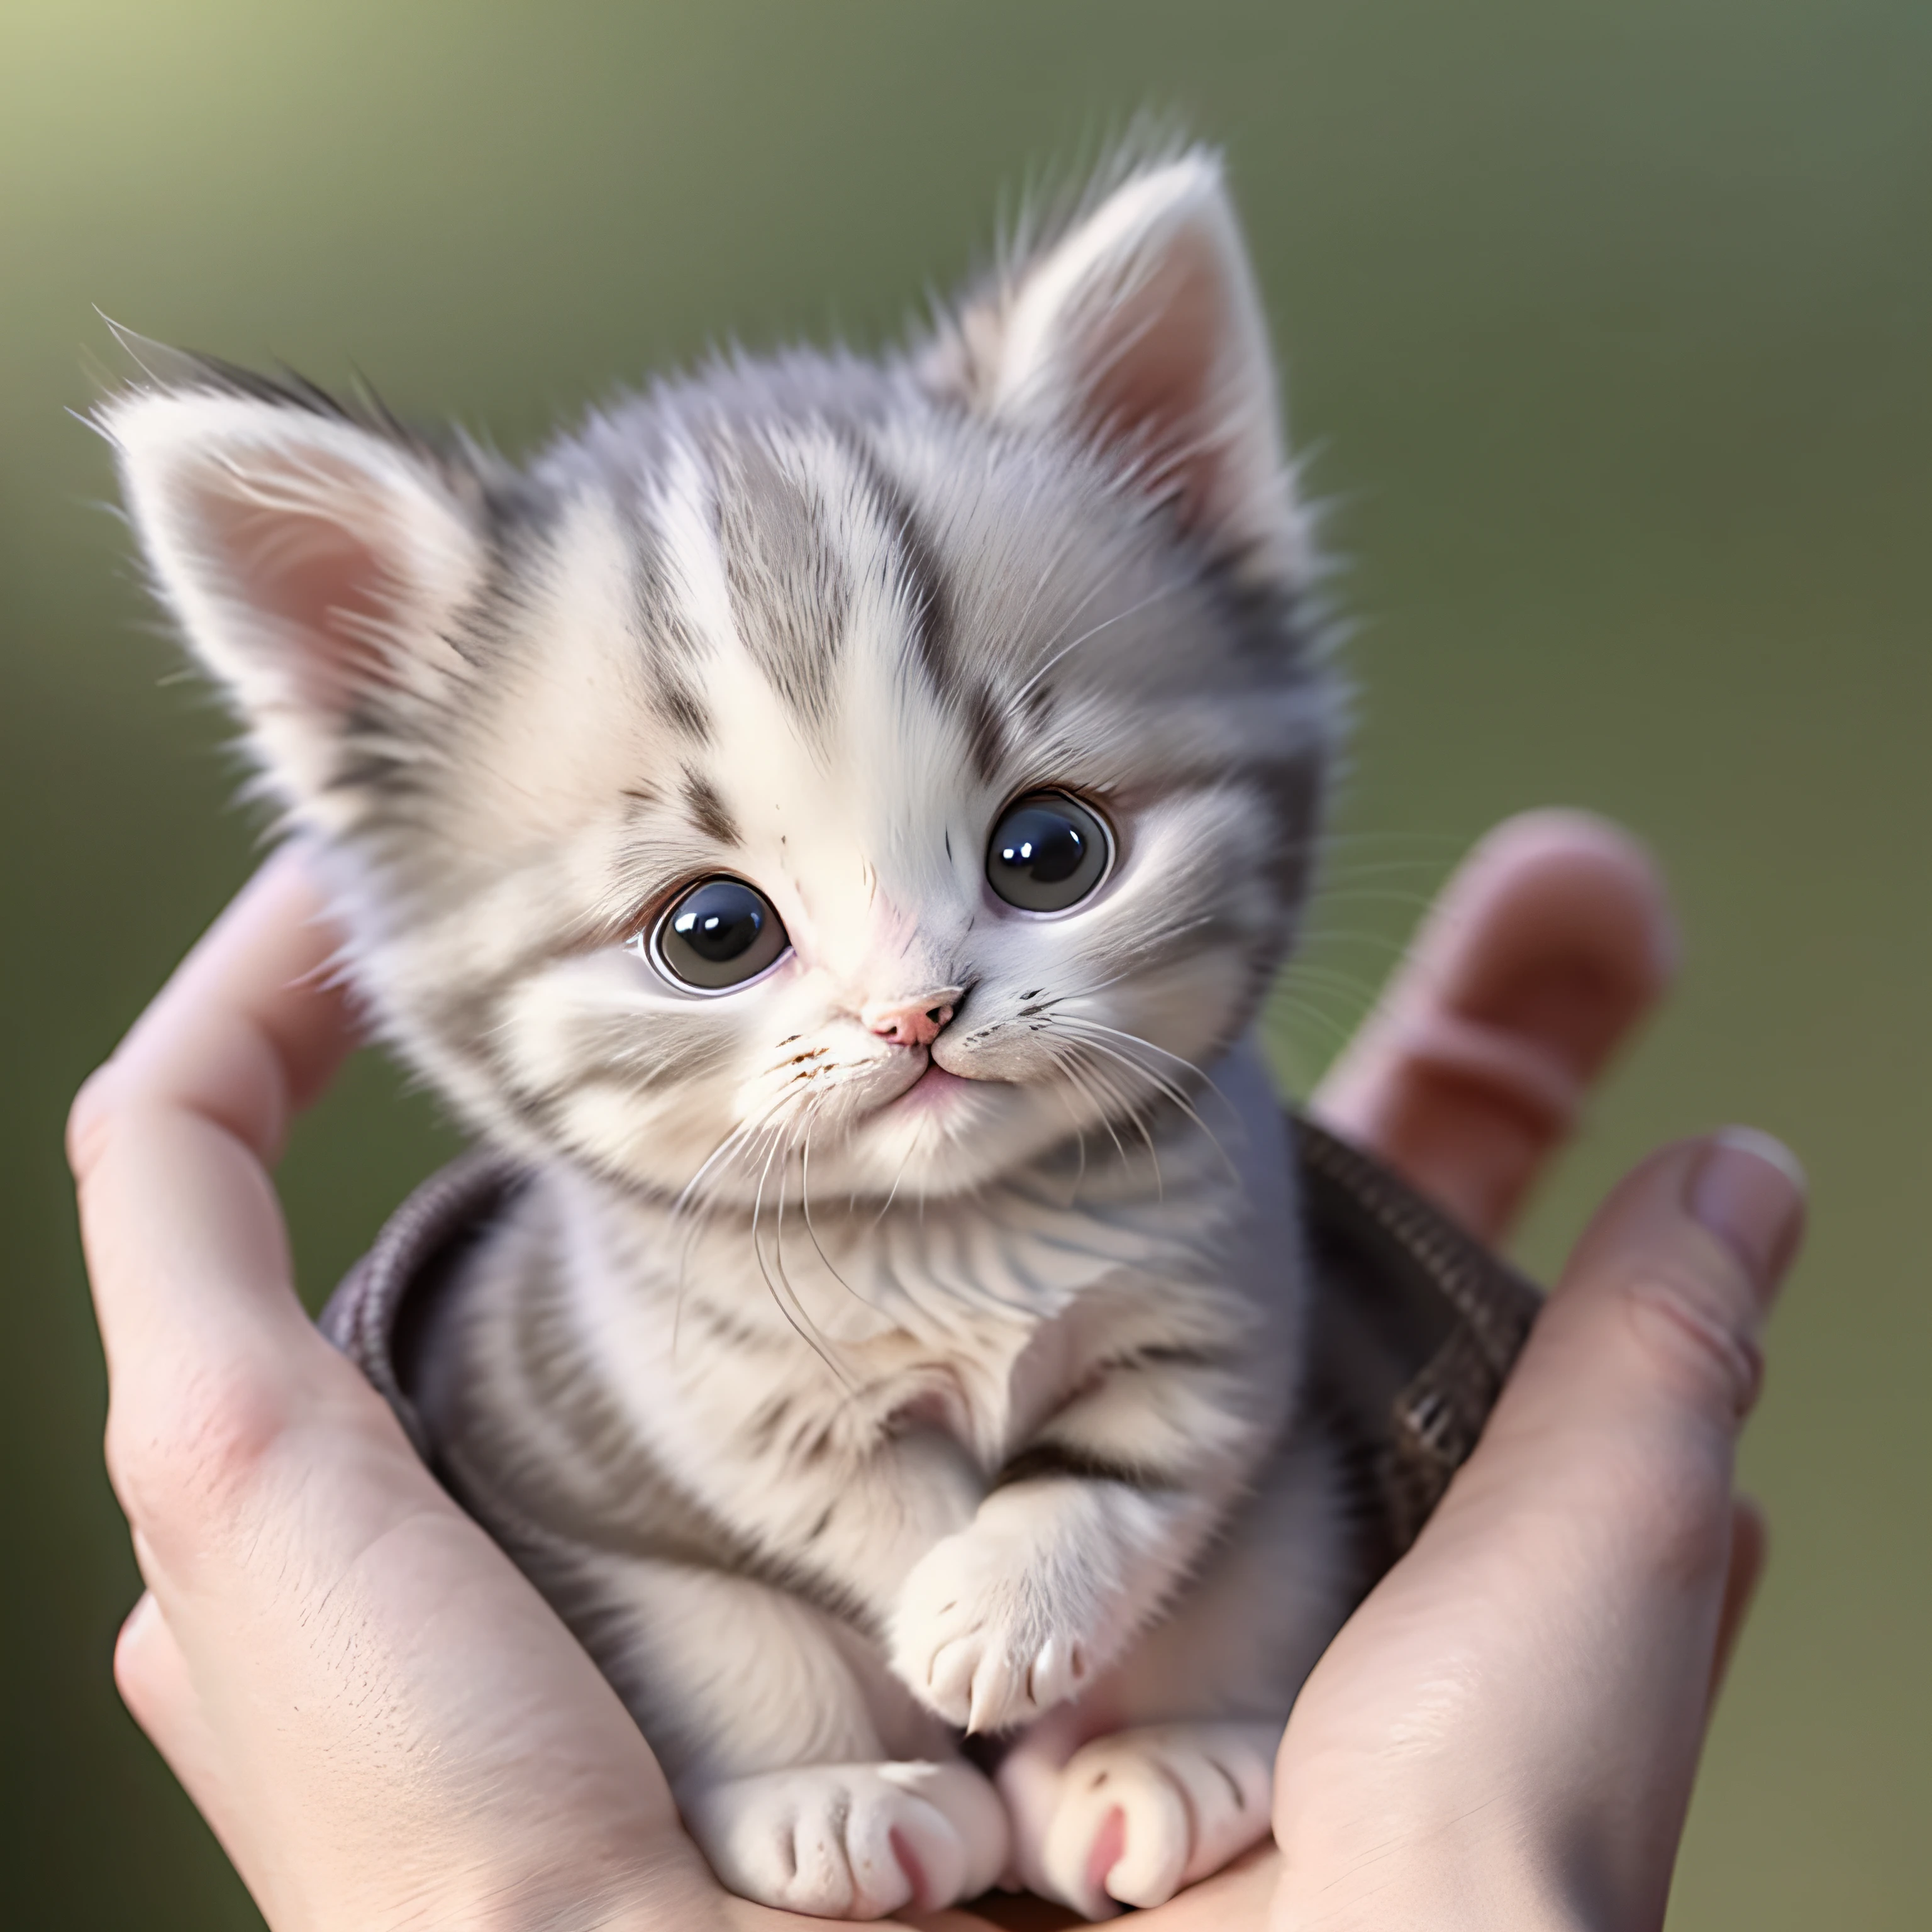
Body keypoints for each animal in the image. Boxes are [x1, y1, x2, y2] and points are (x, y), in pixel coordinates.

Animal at [106, 150, 1352, 1916]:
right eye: (714, 933)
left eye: (1050, 851)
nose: (915, 1010)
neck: (941, 1233)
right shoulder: (664, 1379)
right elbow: (837, 1510)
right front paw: (940, 1620)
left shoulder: (1230, 1294)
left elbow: (1144, 1465)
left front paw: (1011, 1614)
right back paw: (836, 1803)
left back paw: (1164, 1757)